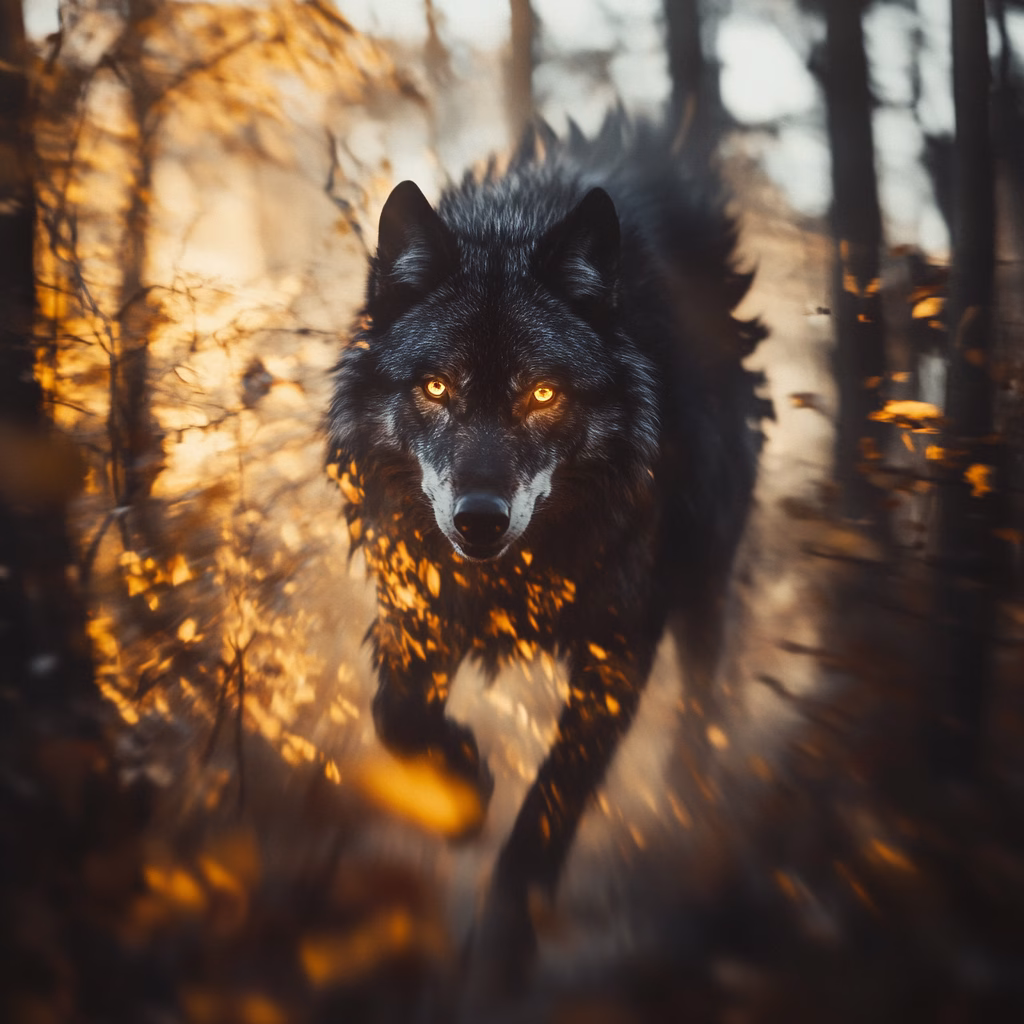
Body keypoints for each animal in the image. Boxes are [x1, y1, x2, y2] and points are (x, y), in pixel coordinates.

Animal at [328, 114, 768, 984]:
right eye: (436, 388)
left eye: (542, 393)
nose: (480, 519)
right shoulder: (420, 605)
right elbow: (399, 715)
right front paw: (462, 794)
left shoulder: (619, 649)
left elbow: (550, 807)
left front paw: (501, 951)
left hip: (704, 580)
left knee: (703, 703)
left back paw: (685, 814)